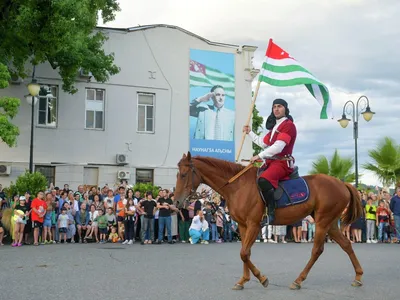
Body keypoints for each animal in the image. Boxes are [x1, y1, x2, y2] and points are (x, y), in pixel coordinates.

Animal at [174, 152, 362, 290]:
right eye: (177, 174)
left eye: (183, 174)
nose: (176, 202)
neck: (238, 186)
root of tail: (342, 184)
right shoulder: (243, 225)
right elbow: (245, 252)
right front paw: (243, 280)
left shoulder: (254, 224)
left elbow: (244, 253)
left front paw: (261, 278)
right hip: (330, 223)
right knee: (346, 244)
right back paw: (358, 276)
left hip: (323, 222)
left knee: (317, 250)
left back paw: (298, 280)